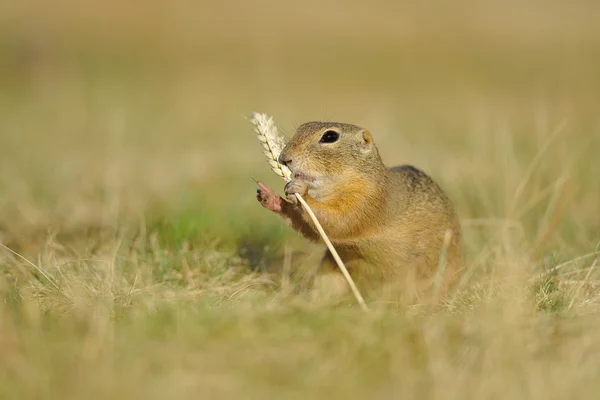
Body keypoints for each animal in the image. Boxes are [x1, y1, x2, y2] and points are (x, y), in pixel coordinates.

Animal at [255, 121, 462, 300]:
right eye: (300, 128)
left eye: (330, 136)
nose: (283, 158)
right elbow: (314, 230)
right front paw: (271, 198)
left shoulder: (367, 200)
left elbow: (339, 221)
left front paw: (300, 190)